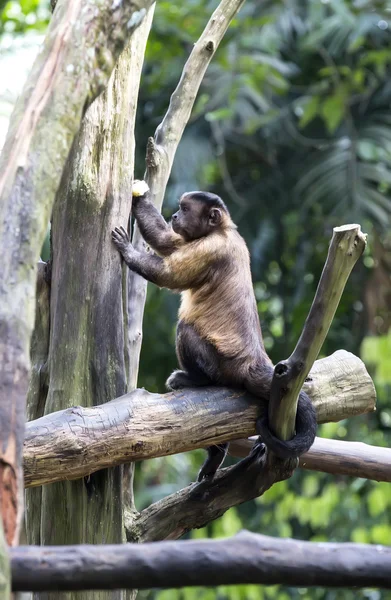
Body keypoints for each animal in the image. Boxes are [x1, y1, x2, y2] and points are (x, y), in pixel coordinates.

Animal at [112, 185, 316, 480]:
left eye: (185, 209)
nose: (174, 215)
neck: (221, 230)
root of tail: (253, 362)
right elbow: (165, 240)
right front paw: (138, 196)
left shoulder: (210, 249)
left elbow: (168, 275)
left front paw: (127, 251)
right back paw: (216, 455)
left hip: (222, 365)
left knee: (185, 329)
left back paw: (197, 380)